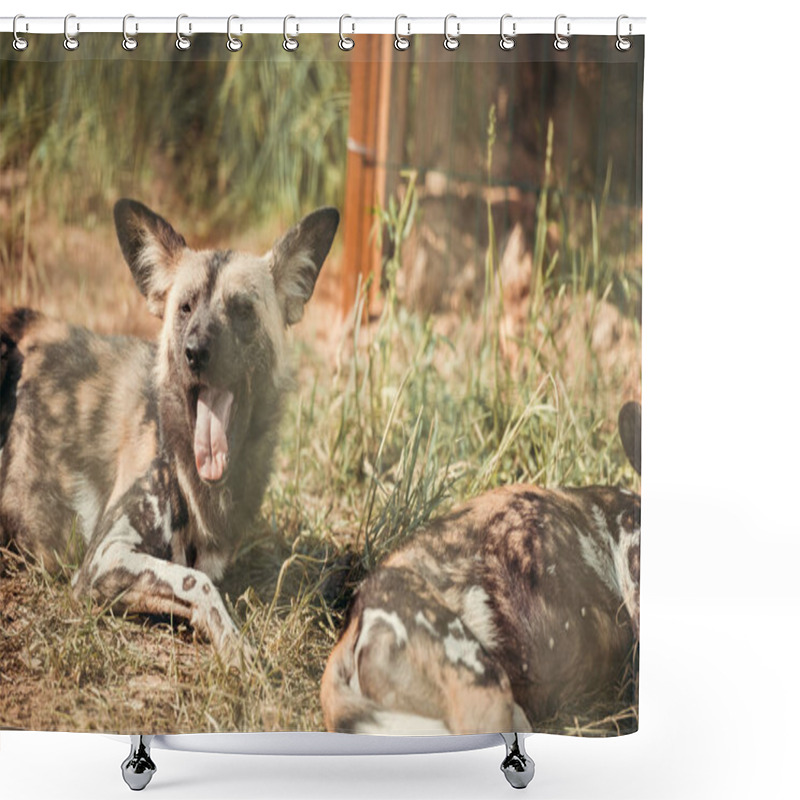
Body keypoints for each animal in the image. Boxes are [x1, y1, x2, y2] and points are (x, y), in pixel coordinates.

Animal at [0, 202, 340, 664]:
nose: (195, 352)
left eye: (242, 310)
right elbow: (196, 582)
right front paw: (235, 645)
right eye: (185, 308)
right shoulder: (103, 558)